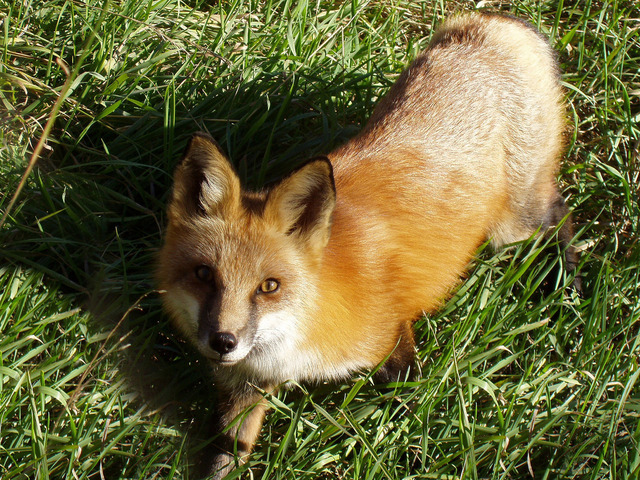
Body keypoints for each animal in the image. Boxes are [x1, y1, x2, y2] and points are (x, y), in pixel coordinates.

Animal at [156, 11, 580, 476]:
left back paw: (569, 286)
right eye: (203, 275)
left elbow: (408, 412)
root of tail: (492, 20)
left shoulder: (391, 337)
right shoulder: (244, 386)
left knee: (561, 214)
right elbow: (227, 452)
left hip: (515, 223)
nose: (223, 342)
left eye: (269, 286)